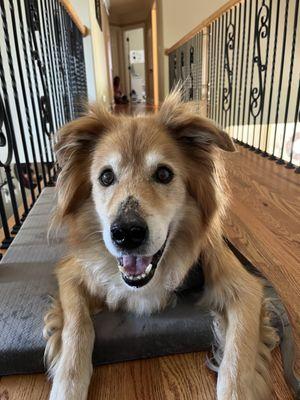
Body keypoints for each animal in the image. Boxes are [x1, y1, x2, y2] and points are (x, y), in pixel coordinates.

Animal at [43, 90, 278, 400]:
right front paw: (67, 388)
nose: (126, 234)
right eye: (106, 177)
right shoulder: (71, 272)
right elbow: (77, 327)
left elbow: (236, 366)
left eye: (164, 174)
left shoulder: (245, 289)